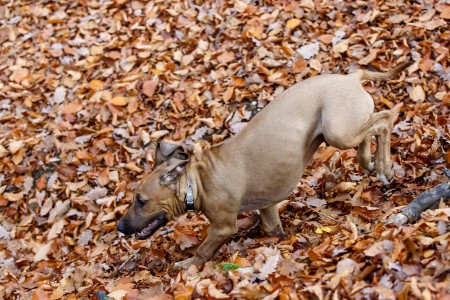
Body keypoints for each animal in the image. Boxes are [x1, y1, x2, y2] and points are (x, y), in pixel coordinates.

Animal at [116, 61, 412, 268]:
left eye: (140, 201)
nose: (119, 227)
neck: (197, 182)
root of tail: (351, 77)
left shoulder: (222, 227)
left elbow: (202, 251)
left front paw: (188, 265)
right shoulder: (268, 207)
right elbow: (272, 228)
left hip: (338, 131)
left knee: (385, 119)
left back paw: (384, 165)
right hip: (345, 128)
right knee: (371, 127)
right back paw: (369, 161)